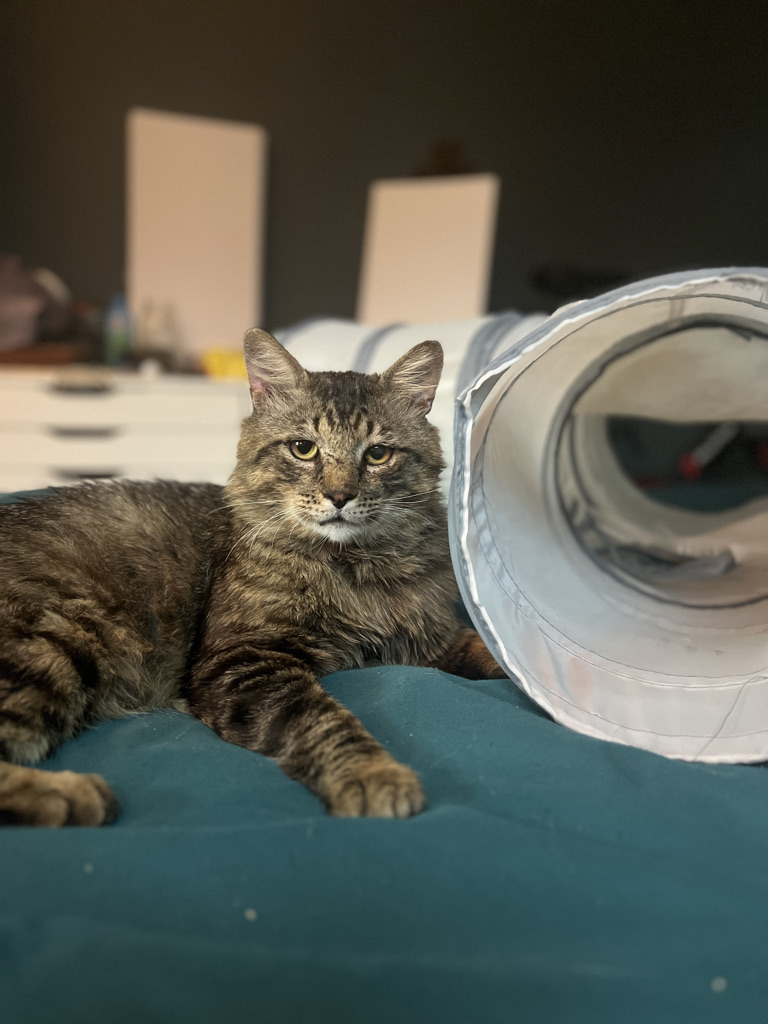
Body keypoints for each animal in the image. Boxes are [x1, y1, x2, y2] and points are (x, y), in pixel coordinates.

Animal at [0, 329, 503, 826]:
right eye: (304, 448)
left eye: (378, 454)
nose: (340, 496)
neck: (358, 568)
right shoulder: (244, 659)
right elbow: (322, 720)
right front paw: (371, 774)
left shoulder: (427, 640)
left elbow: (481, 650)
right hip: (59, 638)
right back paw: (71, 793)